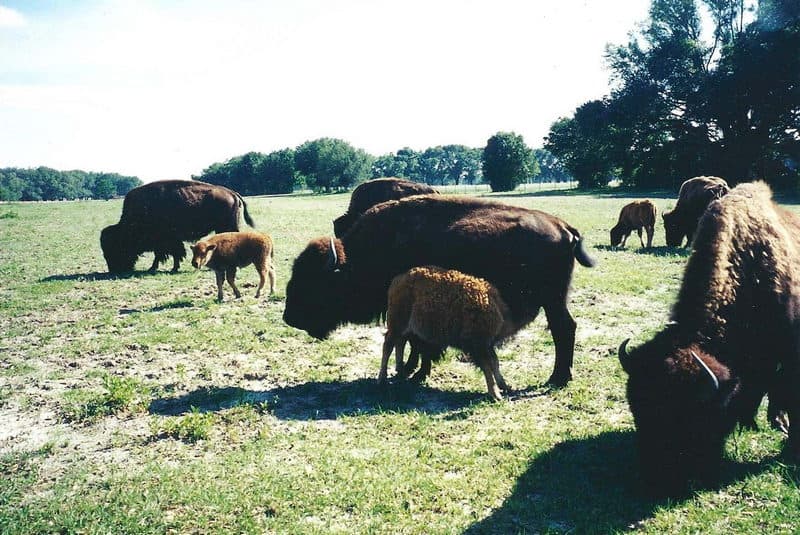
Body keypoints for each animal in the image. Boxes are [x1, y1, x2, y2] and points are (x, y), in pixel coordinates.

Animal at [101, 180, 254, 273]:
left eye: (115, 247)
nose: (114, 270)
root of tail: (232, 193)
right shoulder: (168, 241)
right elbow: (171, 253)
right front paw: (170, 268)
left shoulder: (165, 240)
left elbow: (167, 254)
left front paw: (158, 268)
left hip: (226, 226)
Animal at [284, 194, 595, 386]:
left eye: (316, 282)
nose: (290, 317)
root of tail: (563, 227)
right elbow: (414, 341)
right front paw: (411, 371)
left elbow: (419, 342)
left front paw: (415, 373)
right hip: (555, 300)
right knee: (566, 328)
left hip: (552, 300)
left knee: (563, 329)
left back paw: (558, 378)